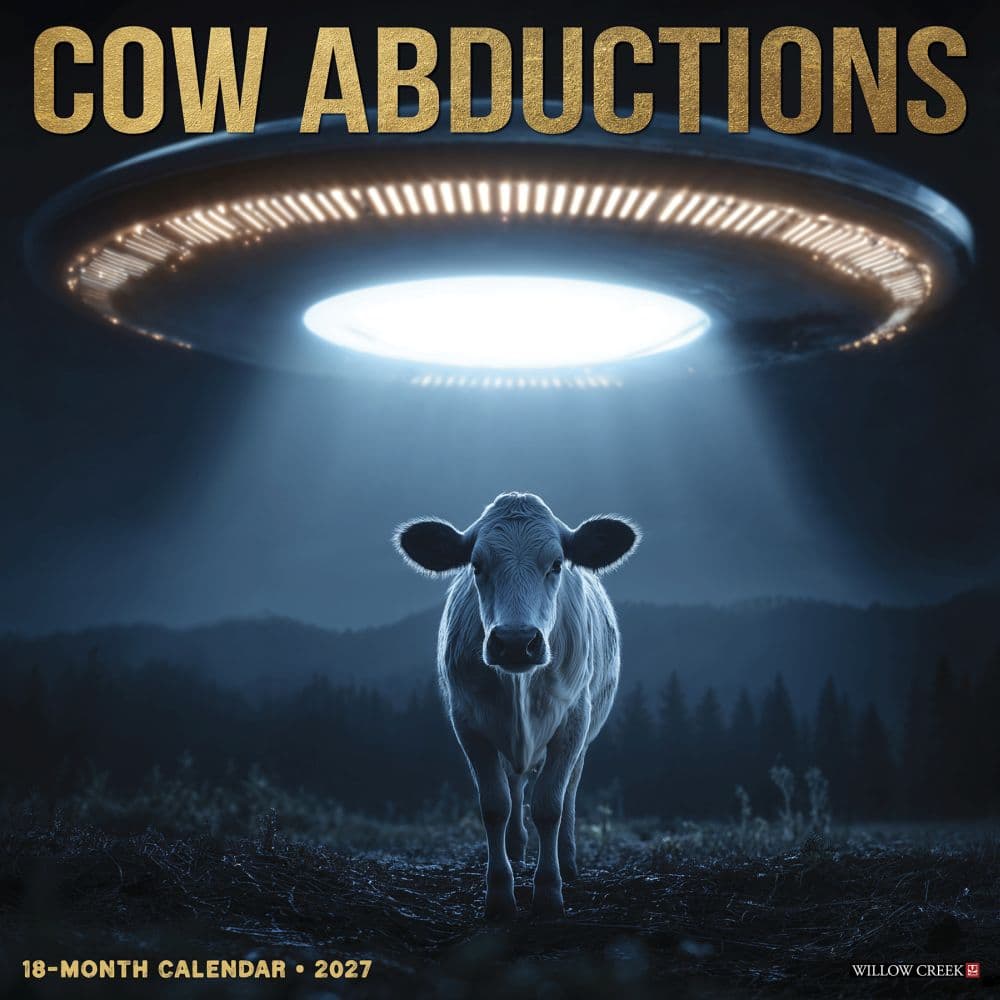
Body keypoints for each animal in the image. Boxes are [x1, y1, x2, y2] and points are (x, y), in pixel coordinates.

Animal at [394, 492, 639, 918]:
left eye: (556, 564)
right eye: (477, 565)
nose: (515, 641)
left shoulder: (573, 721)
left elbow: (549, 805)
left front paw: (549, 891)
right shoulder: (468, 722)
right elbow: (495, 805)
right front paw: (499, 893)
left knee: (568, 793)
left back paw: (568, 861)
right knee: (514, 787)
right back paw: (515, 849)